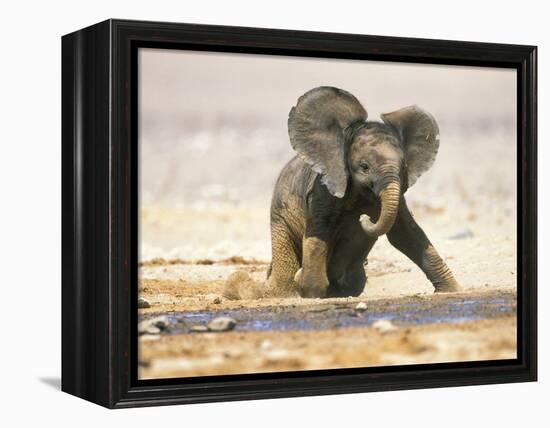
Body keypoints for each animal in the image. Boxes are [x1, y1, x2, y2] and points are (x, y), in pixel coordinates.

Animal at [224, 86, 462, 300]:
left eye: (403, 167)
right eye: (364, 167)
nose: (365, 218)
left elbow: (405, 234)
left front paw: (452, 290)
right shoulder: (322, 189)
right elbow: (319, 232)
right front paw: (310, 291)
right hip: (280, 219)